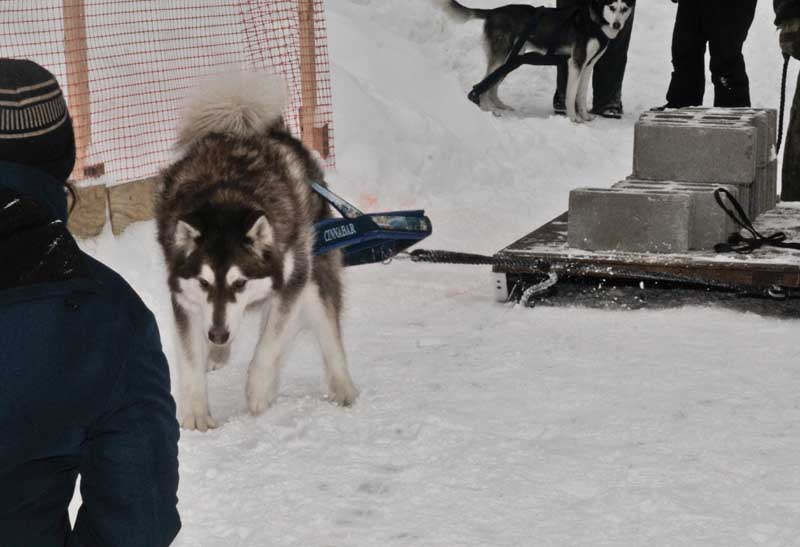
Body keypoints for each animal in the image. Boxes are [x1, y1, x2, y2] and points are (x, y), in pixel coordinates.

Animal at [156, 71, 356, 432]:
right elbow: (190, 360)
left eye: (239, 283)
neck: (225, 195)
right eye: (204, 283)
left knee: (326, 329)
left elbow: (270, 343)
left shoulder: (293, 281)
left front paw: (259, 389)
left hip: (314, 275)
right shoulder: (184, 297)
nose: (217, 334)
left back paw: (342, 386)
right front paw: (195, 413)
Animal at [440, 0, 636, 122]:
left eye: (624, 9)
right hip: (501, 59)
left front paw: (585, 116)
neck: (594, 22)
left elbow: (580, 95)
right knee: (483, 84)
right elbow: (571, 95)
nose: (617, 25)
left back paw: (500, 105)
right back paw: (488, 109)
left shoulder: (588, 66)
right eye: (612, 7)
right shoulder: (576, 63)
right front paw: (573, 118)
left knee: (492, 85)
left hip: (510, 59)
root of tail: (493, 12)